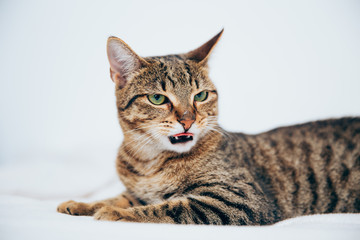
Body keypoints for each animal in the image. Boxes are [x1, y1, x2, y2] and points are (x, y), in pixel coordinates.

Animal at [57, 30, 358, 225]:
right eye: (158, 98)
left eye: (200, 95)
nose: (188, 119)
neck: (148, 163)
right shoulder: (136, 192)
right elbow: (119, 198)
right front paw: (82, 204)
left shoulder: (240, 199)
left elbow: (166, 209)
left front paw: (115, 214)